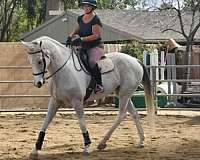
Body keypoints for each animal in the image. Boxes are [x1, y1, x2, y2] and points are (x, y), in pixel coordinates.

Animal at [21, 36, 155, 160]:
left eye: (39, 61)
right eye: (29, 61)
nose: (38, 83)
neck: (63, 71)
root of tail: (135, 60)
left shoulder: (77, 101)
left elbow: (81, 122)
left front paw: (86, 147)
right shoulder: (55, 101)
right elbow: (45, 122)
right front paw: (35, 150)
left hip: (124, 95)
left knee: (121, 115)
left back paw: (102, 142)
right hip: (123, 94)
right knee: (134, 113)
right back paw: (141, 141)